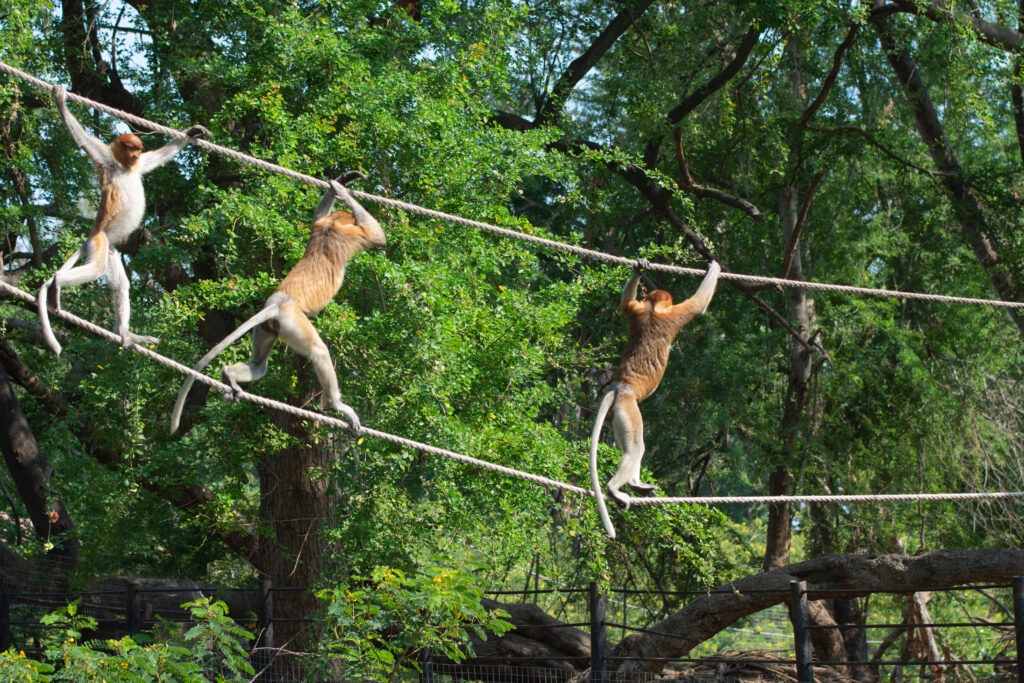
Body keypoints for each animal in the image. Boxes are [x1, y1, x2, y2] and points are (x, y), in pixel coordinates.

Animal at [38, 84, 210, 356]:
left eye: (137, 149)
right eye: (130, 147)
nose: (135, 154)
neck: (124, 167)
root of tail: (94, 234)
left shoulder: (140, 165)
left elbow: (158, 157)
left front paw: (191, 133)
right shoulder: (105, 159)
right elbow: (83, 139)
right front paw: (59, 100)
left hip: (110, 250)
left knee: (121, 284)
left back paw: (126, 334)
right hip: (99, 241)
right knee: (96, 269)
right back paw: (57, 283)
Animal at [169, 173, 384, 434]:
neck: (332, 226)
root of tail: (279, 302)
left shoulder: (319, 225)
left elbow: (317, 216)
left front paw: (342, 181)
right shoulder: (354, 235)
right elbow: (376, 235)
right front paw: (344, 192)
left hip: (267, 327)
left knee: (259, 365)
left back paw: (229, 375)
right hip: (293, 322)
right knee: (318, 350)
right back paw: (336, 405)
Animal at [588, 259, 721, 538]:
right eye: (669, 301)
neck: (652, 310)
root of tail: (620, 386)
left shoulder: (636, 309)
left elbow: (625, 304)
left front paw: (640, 268)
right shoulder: (676, 315)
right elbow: (698, 305)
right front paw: (714, 267)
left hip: (616, 417)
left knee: (630, 447)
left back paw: (636, 484)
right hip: (628, 408)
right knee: (636, 447)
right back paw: (615, 489)